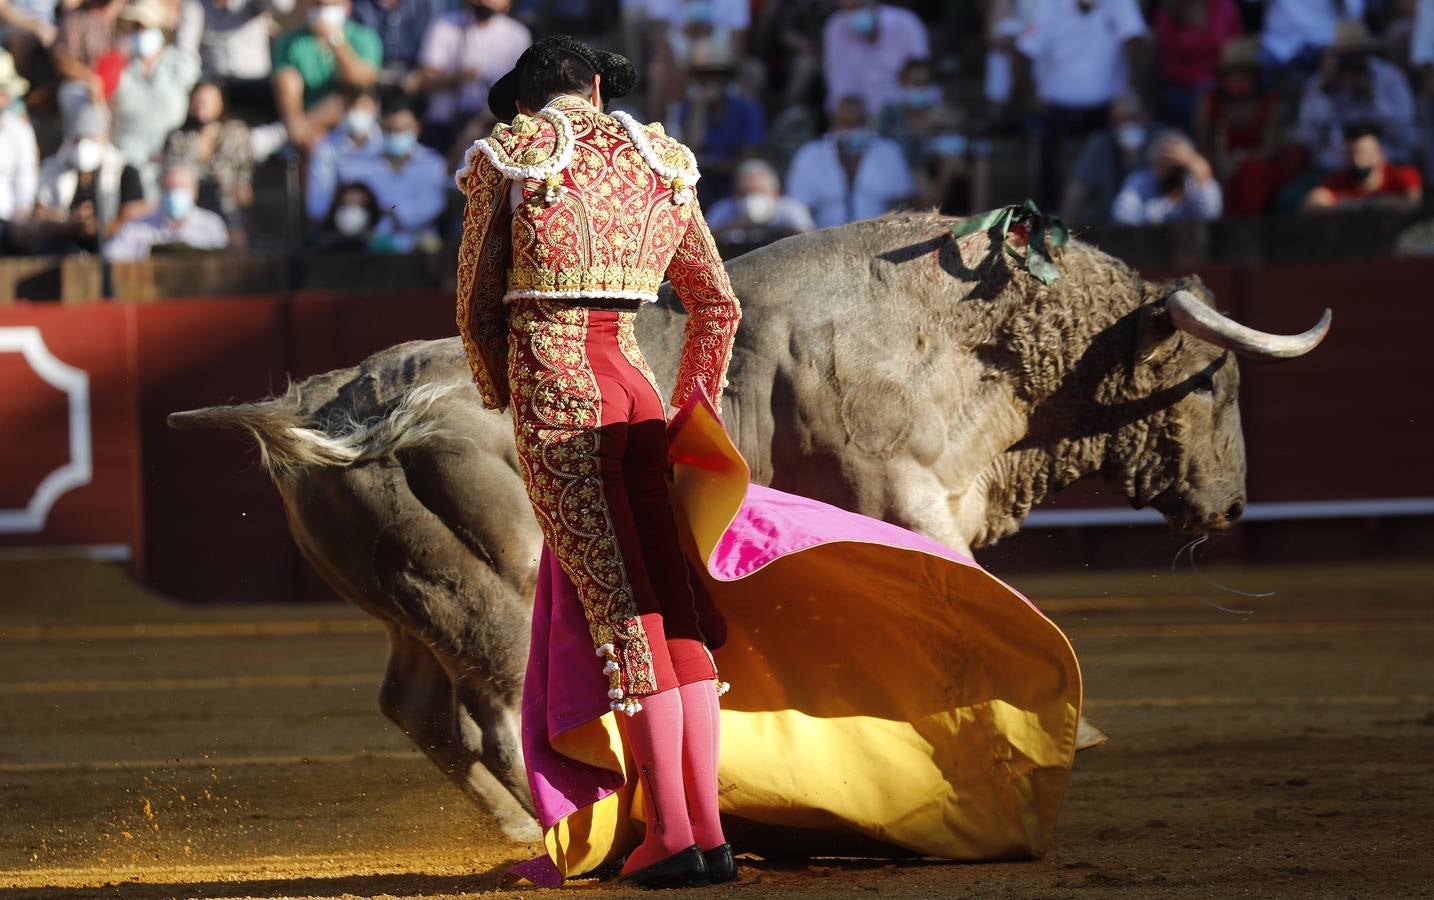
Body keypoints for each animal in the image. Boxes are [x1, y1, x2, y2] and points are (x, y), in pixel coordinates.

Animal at [170, 216, 1330, 842]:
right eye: (1215, 379)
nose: (1231, 505)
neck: (958, 336)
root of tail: (339, 407)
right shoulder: (901, 490)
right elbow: (969, 596)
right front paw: (1057, 729)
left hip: (412, 603)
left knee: (420, 710)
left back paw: (525, 825)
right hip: (498, 585)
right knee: (497, 714)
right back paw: (564, 825)